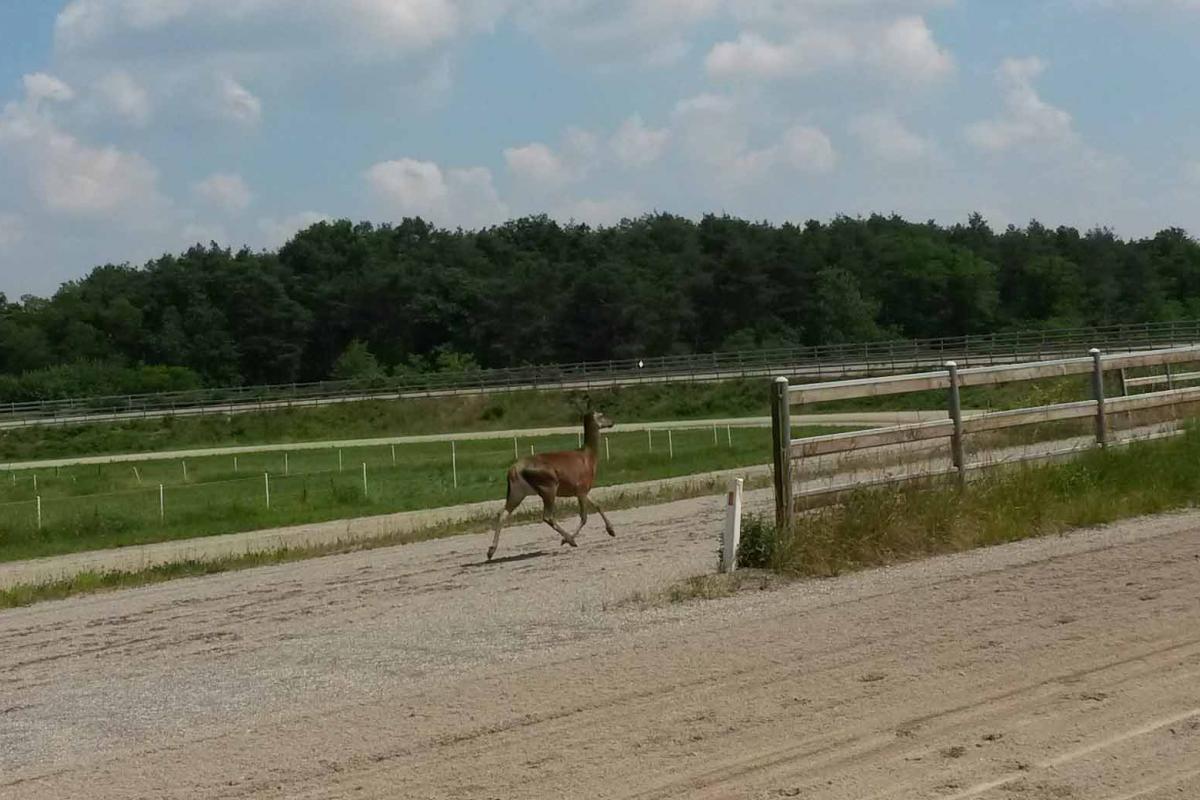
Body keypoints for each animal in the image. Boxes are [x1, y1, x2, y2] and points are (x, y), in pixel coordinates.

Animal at [487, 410, 619, 561]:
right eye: (601, 415)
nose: (612, 421)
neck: (589, 458)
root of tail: (514, 469)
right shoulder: (580, 487)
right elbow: (584, 517)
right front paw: (567, 540)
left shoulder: (583, 490)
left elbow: (598, 505)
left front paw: (611, 530)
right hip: (548, 486)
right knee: (547, 516)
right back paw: (570, 540)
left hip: (517, 491)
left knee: (503, 513)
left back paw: (491, 551)